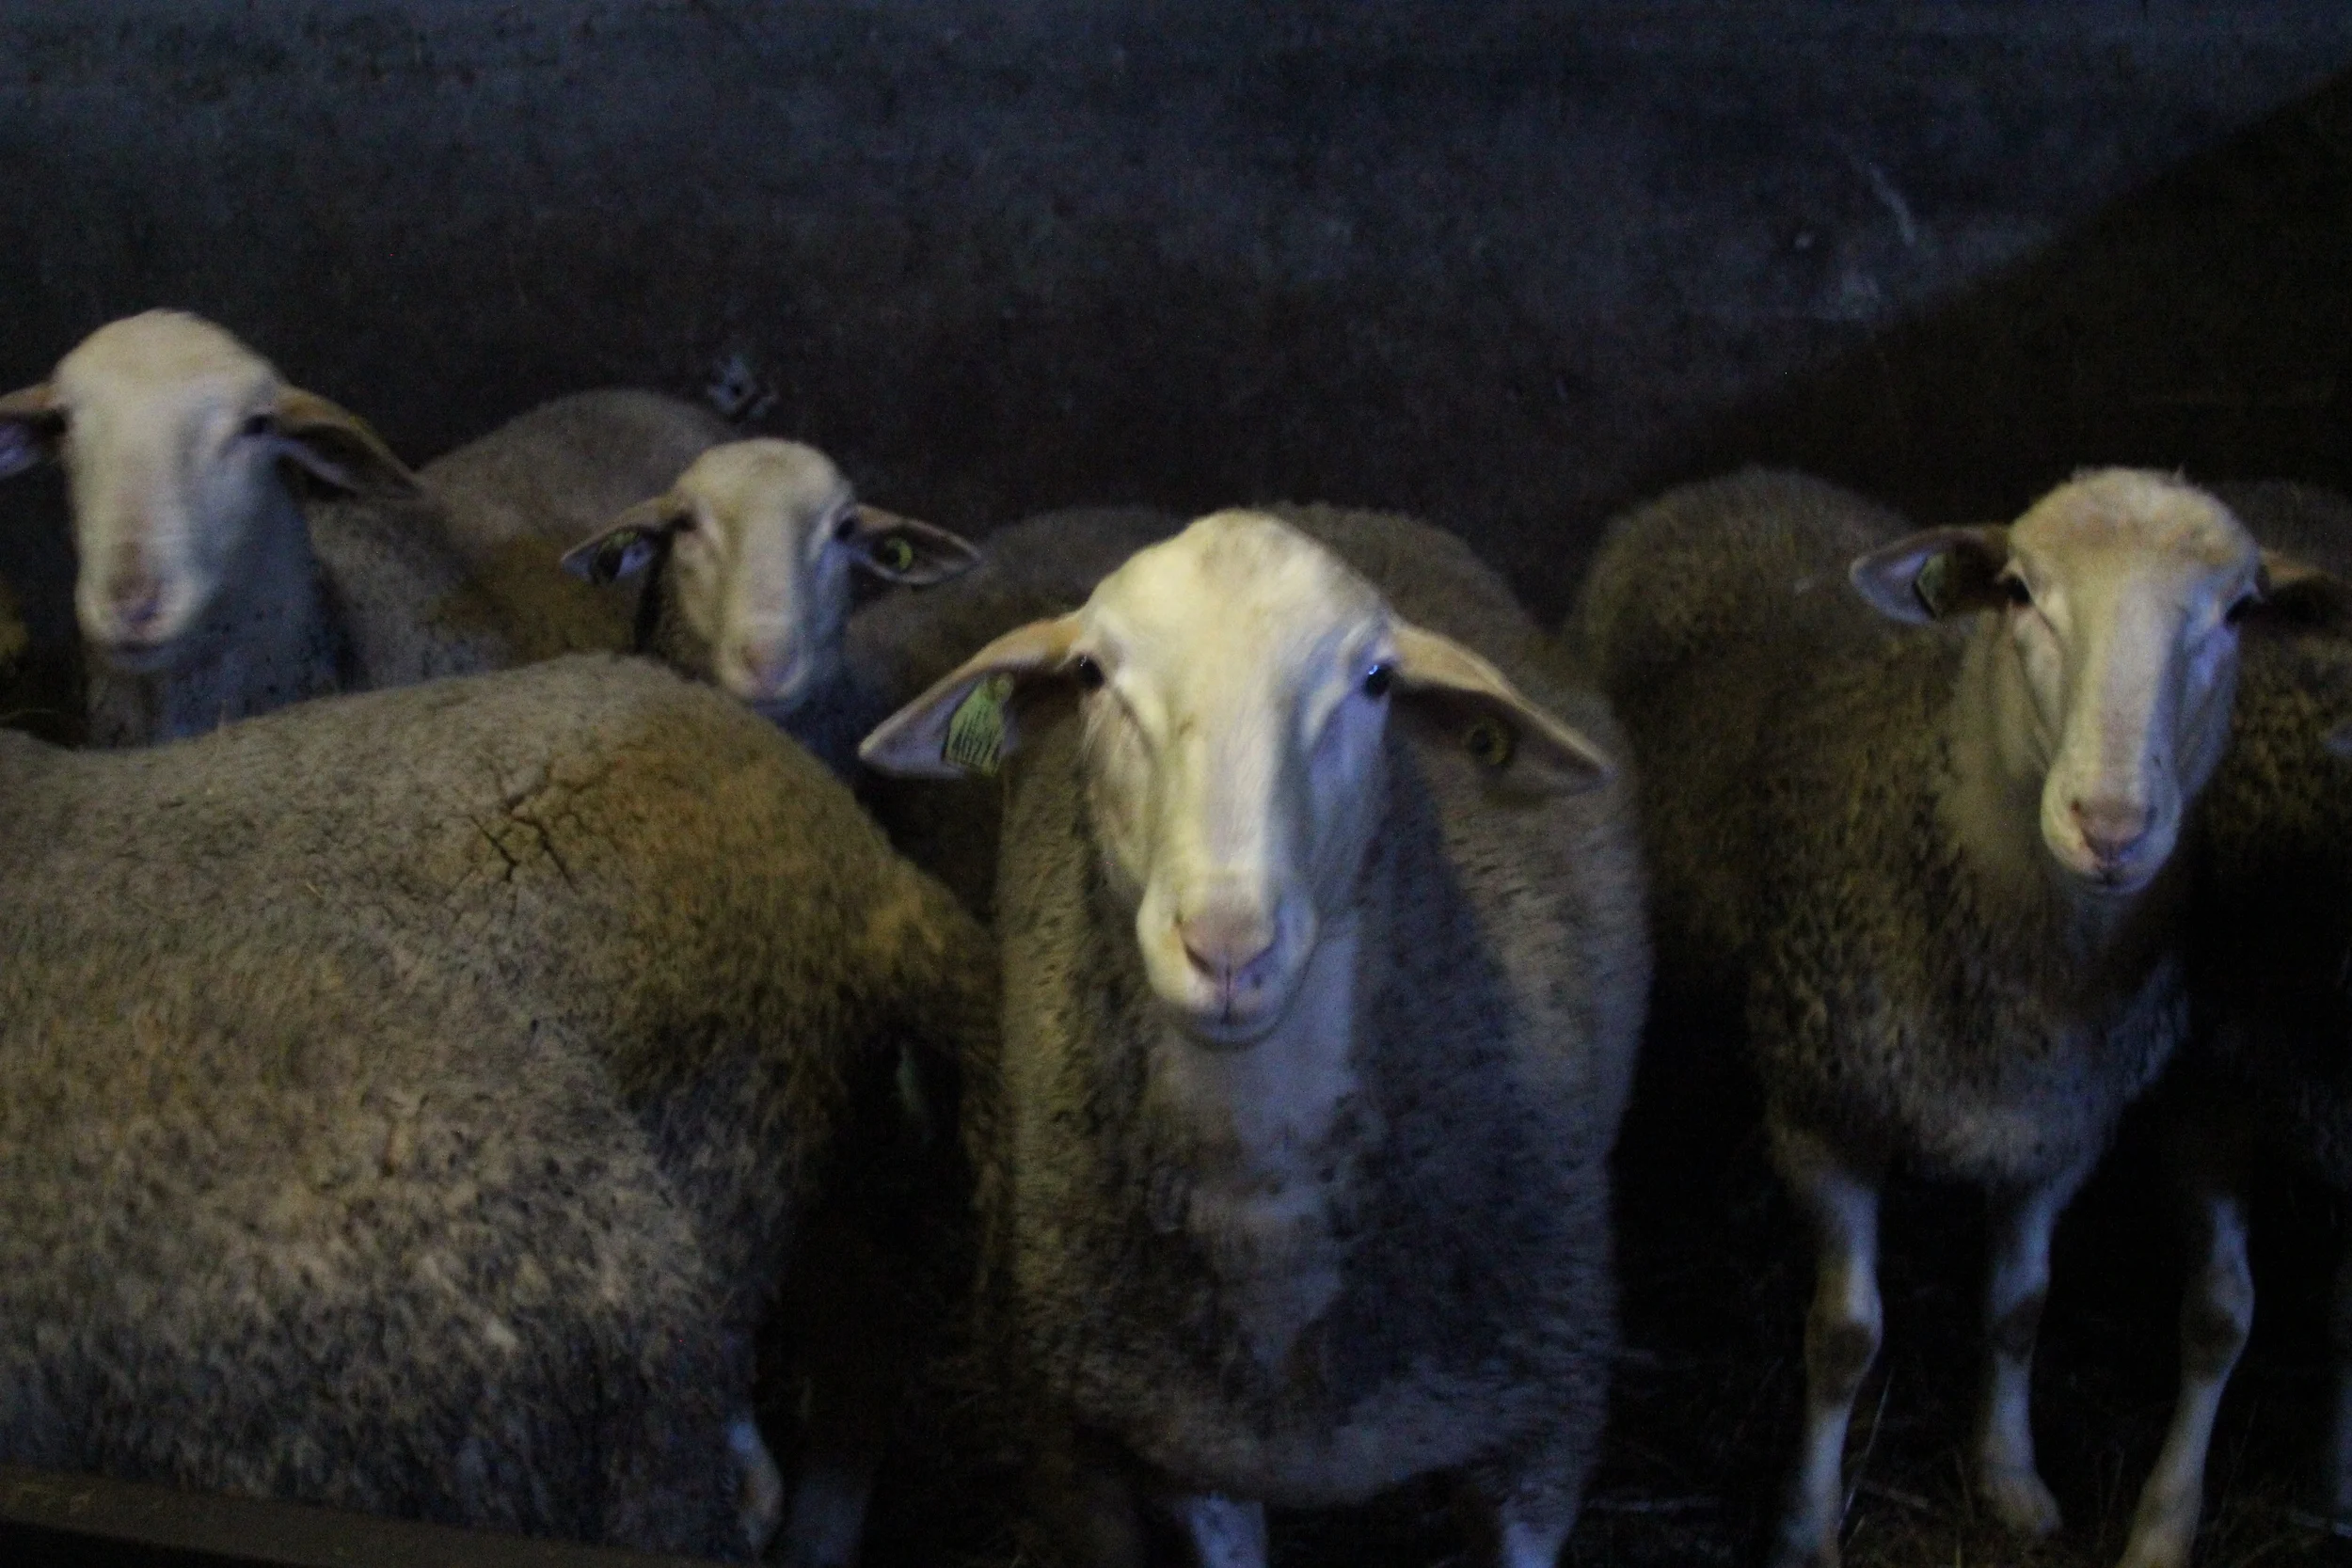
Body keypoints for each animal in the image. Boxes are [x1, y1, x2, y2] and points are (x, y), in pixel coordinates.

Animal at [1570, 467, 2294, 1568]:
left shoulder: (2054, 1131)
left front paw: (2011, 1479)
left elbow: (2020, 1310)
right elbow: (1845, 1337)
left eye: (2239, 611)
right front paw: (1805, 1522)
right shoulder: (1828, 1111)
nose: (2110, 827)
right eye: (2021, 593)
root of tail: (1736, 481)